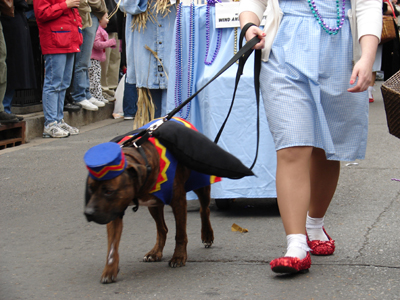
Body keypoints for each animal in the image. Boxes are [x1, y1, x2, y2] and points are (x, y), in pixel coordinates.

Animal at [85, 141, 216, 284]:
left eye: (109, 191)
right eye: (90, 188)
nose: (88, 212)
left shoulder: (178, 201)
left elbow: (180, 234)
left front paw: (178, 256)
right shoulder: (114, 211)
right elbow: (112, 246)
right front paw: (110, 269)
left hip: (200, 185)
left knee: (204, 210)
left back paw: (207, 235)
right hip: (153, 205)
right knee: (162, 228)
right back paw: (155, 252)